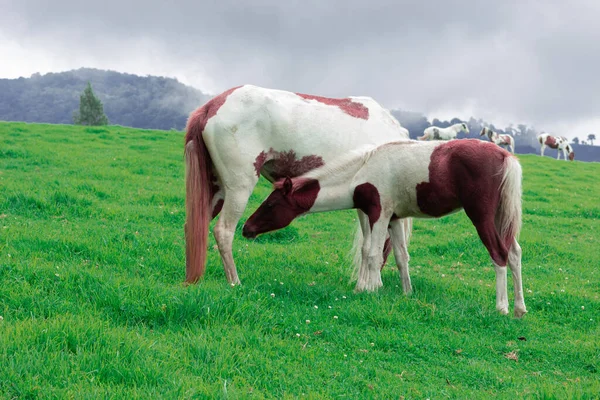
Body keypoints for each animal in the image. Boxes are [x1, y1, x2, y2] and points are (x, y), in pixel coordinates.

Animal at [186, 84, 412, 284]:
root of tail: (213, 105)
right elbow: (369, 244)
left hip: (217, 191)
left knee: (194, 227)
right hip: (238, 190)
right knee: (223, 232)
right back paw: (235, 282)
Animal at [243, 139, 524, 318]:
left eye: (270, 204)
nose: (246, 229)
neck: (359, 174)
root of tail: (505, 156)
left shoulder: (379, 214)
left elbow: (372, 254)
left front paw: (369, 289)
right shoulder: (394, 219)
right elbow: (401, 257)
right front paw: (407, 293)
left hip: (481, 216)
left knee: (499, 254)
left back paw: (502, 307)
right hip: (501, 217)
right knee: (514, 254)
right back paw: (519, 308)